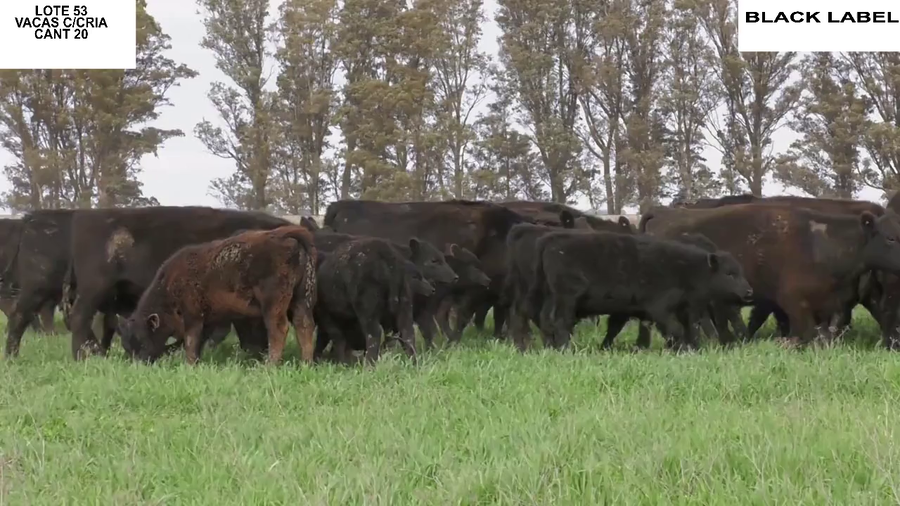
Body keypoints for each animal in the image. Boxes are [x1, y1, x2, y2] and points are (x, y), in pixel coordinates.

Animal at [118, 226, 317, 365]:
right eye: (127, 346)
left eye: (143, 342)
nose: (139, 364)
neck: (170, 284)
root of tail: (283, 236)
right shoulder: (207, 321)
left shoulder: (193, 317)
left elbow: (191, 342)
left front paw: (189, 364)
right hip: (301, 300)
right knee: (304, 325)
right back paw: (305, 363)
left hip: (273, 304)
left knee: (278, 329)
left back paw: (270, 365)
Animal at [529, 230, 753, 351]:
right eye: (729, 273)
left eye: (741, 271)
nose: (749, 292)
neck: (686, 268)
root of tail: (550, 239)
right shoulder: (660, 308)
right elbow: (675, 330)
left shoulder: (682, 310)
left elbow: (689, 330)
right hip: (566, 300)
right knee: (561, 323)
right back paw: (565, 349)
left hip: (551, 299)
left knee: (546, 321)